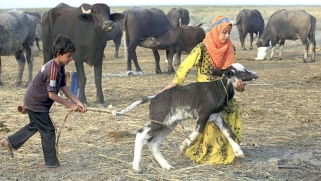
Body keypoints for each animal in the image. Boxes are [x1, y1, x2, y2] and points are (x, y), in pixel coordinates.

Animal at [112, 63, 258, 173]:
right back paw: (136, 167)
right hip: (158, 121)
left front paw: (238, 152)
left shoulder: (217, 117)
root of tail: (154, 98)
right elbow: (197, 131)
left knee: (153, 142)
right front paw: (182, 147)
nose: (256, 74)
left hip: (169, 125)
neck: (218, 89)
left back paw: (166, 166)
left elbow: (229, 132)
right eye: (242, 71)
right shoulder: (203, 114)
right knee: (140, 134)